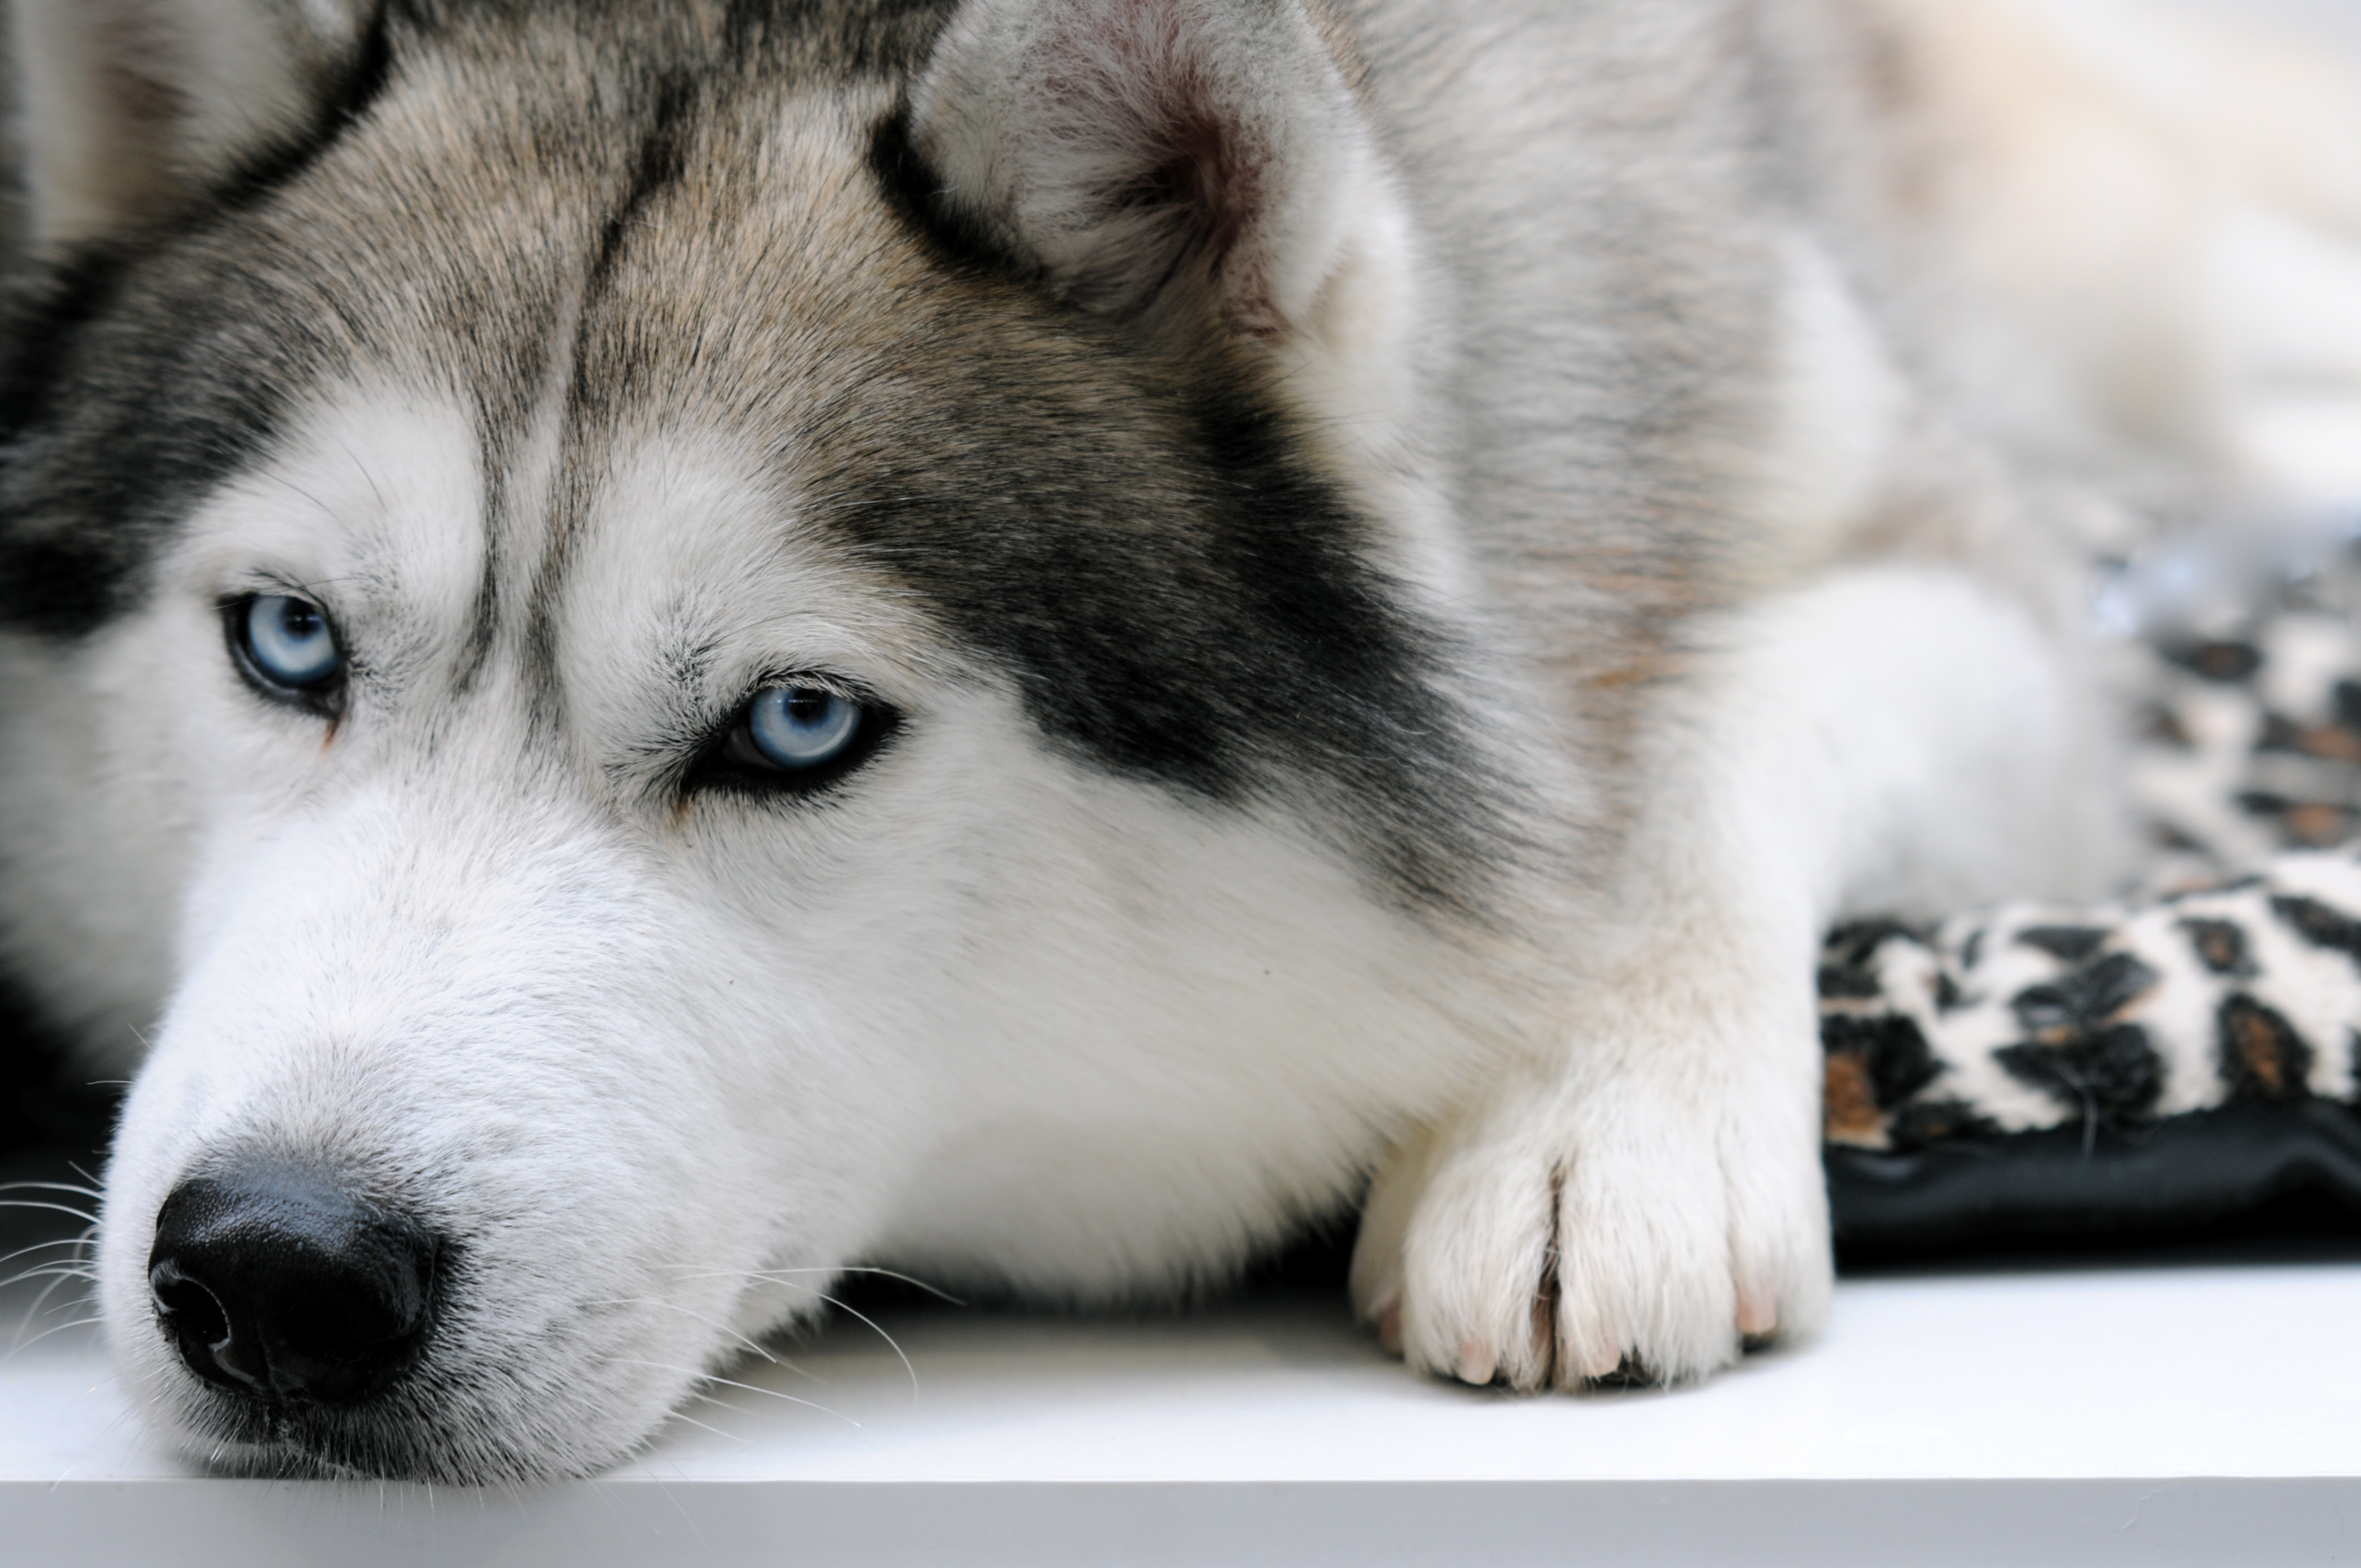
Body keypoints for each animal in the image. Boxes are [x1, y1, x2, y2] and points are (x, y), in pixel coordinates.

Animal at [5, 0, 2361, 1482]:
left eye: (795, 723)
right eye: (288, 638)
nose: (275, 1266)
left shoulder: (1977, 586)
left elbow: (1707, 711)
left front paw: (1591, 1113)